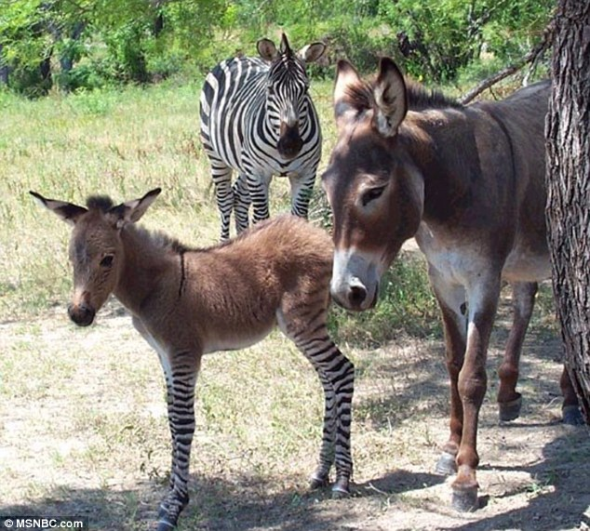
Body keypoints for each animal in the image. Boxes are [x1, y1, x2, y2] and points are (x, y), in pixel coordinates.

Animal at [32, 189, 354, 531]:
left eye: (107, 259)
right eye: (71, 259)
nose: (78, 315)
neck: (155, 288)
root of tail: (317, 234)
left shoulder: (184, 354)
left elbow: (184, 422)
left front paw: (173, 506)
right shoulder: (165, 357)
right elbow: (173, 421)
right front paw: (172, 494)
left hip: (302, 322)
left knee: (342, 371)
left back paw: (343, 479)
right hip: (307, 325)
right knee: (328, 380)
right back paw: (321, 473)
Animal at [201, 32, 326, 239]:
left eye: (306, 89)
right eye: (270, 89)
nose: (290, 145)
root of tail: (238, 57)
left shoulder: (306, 173)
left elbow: (299, 218)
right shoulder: (258, 172)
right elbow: (262, 219)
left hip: (243, 163)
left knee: (239, 197)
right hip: (216, 155)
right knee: (225, 201)